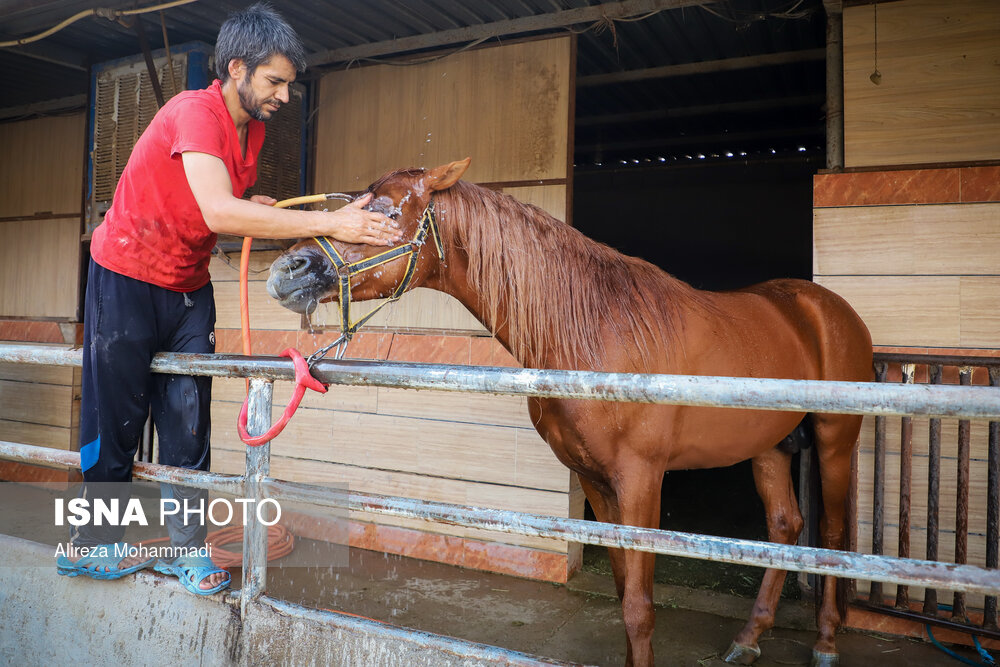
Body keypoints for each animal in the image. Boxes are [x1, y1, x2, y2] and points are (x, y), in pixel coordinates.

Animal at [268, 159, 876, 664]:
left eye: (388, 212)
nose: (287, 270)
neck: (596, 334)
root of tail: (826, 308)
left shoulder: (641, 480)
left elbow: (640, 607)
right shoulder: (595, 481)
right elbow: (625, 594)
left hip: (835, 440)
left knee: (835, 535)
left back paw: (825, 642)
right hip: (768, 445)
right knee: (785, 524)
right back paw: (748, 639)